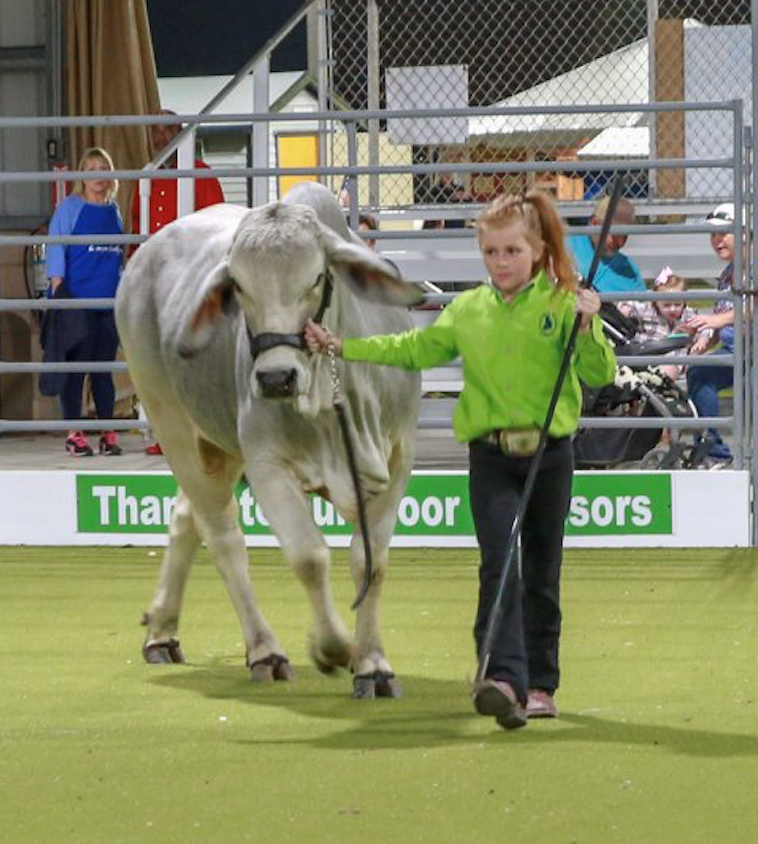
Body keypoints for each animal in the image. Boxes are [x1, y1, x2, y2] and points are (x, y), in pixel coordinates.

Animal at [115, 182, 421, 698]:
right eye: (237, 285)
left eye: (316, 277)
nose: (276, 377)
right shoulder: (267, 466)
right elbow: (309, 557)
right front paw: (334, 647)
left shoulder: (398, 462)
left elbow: (370, 563)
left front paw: (374, 664)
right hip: (172, 423)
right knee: (222, 537)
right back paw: (264, 650)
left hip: (219, 447)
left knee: (186, 518)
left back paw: (161, 629)